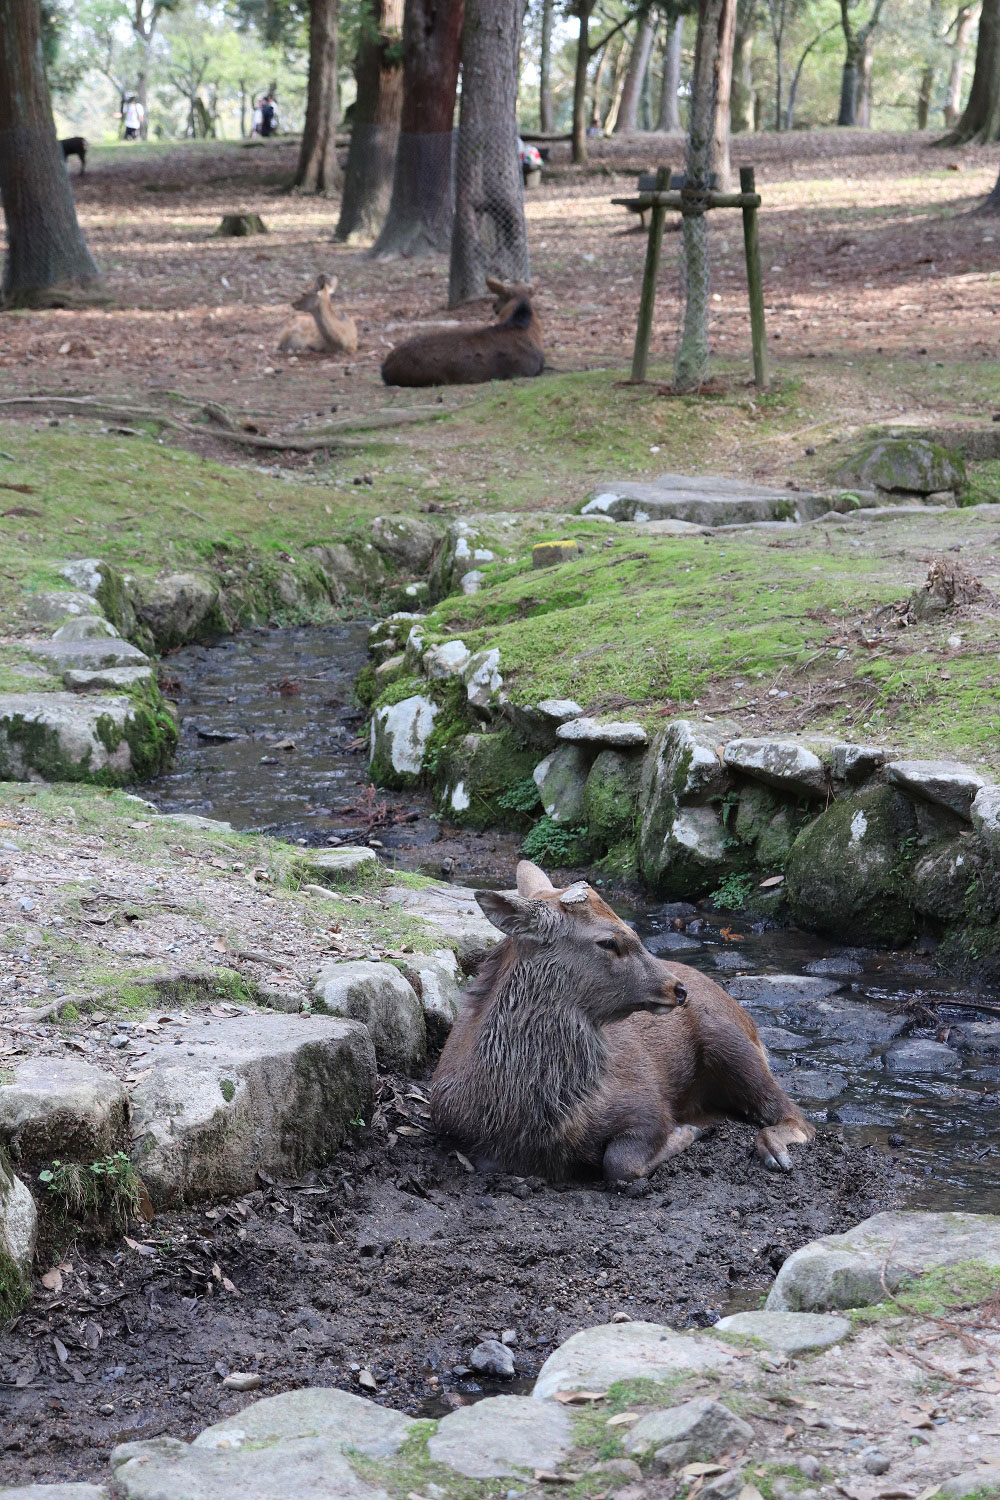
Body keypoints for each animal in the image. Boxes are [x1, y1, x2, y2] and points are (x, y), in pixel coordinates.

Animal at [431, 864, 815, 1188]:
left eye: (633, 928)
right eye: (608, 941)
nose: (677, 989)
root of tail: (746, 1017)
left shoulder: (646, 1104)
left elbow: (619, 1163)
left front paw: (687, 1132)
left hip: (729, 1042)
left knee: (796, 1116)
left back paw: (772, 1150)